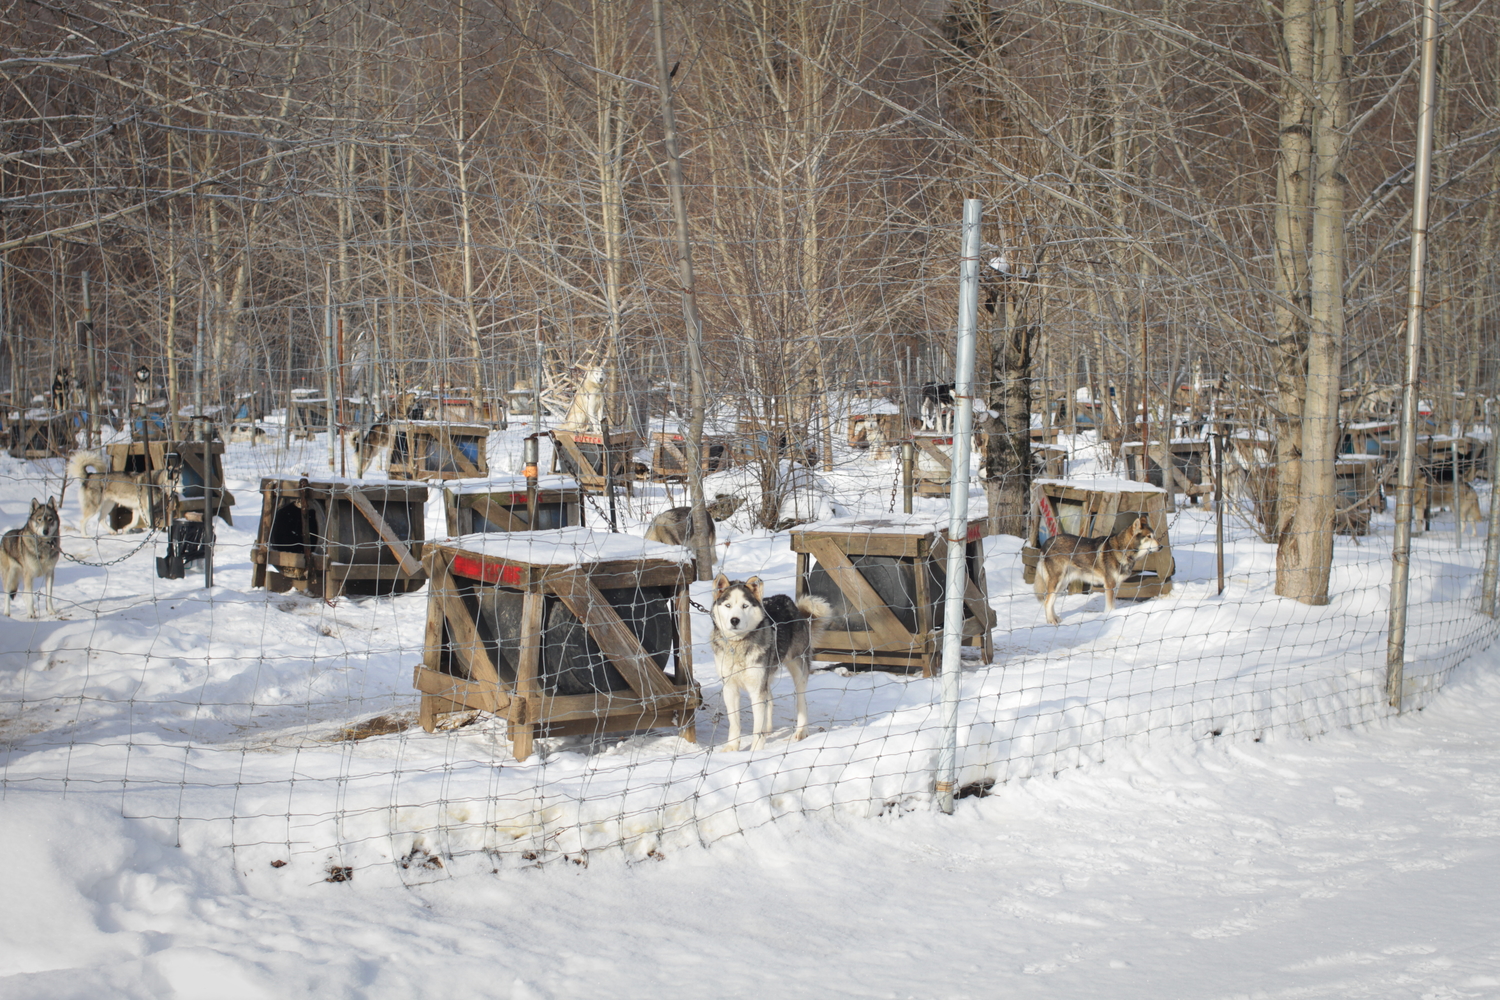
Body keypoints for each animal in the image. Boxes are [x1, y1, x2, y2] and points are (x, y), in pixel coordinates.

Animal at [711, 575, 834, 746]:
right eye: (728, 605)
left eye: (744, 606)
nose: (734, 620)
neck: (738, 646)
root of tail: (788, 601)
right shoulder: (730, 687)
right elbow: (735, 723)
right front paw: (732, 748)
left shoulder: (757, 690)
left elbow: (757, 728)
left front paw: (756, 749)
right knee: (769, 699)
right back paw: (768, 729)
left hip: (798, 670)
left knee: (801, 702)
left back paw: (801, 732)